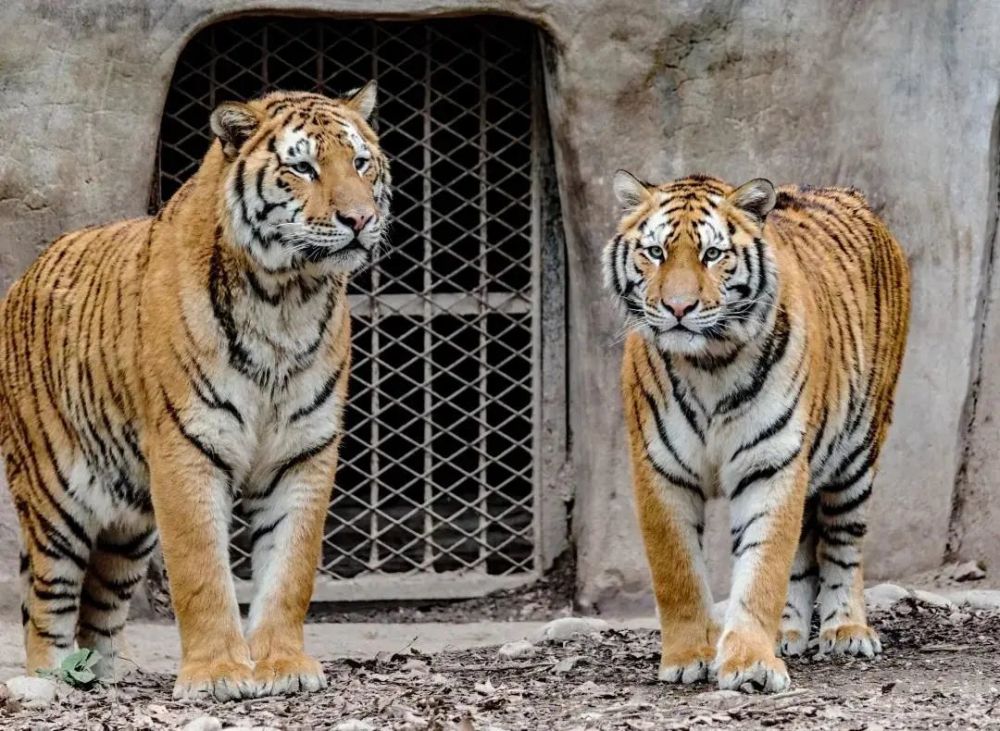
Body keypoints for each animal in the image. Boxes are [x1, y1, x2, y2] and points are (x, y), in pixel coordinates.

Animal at [0, 83, 390, 700]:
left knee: (101, 604)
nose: (360, 219)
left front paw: (283, 664)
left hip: (128, 523)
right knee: (45, 603)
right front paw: (218, 674)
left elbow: (291, 568)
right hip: (54, 497)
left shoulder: (304, 451)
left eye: (359, 162)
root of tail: (24, 276)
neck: (287, 300)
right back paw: (51, 680)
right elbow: (201, 570)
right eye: (303, 168)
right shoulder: (187, 448)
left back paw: (105, 677)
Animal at [604, 172, 912, 692]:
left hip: (858, 451)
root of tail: (851, 196)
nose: (679, 307)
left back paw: (847, 630)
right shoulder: (661, 470)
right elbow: (677, 571)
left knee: (843, 545)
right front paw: (688, 658)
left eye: (712, 253)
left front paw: (749, 664)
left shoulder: (772, 464)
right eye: (656, 252)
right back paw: (788, 633)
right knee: (804, 551)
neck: (708, 364)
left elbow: (762, 568)